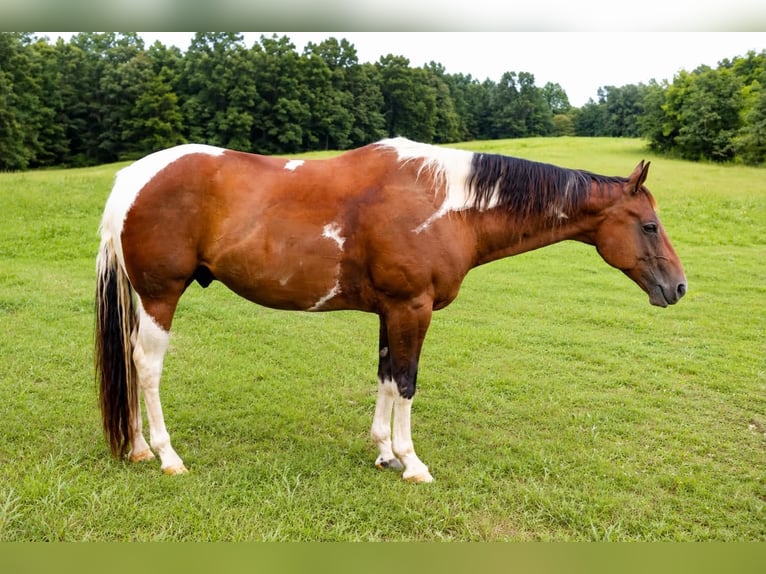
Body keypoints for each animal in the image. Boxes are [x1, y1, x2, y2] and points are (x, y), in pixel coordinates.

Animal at [95, 137, 687, 482]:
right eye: (649, 225)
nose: (678, 287)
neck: (448, 203)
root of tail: (133, 178)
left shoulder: (390, 312)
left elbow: (384, 376)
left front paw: (384, 452)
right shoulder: (412, 309)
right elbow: (406, 382)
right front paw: (412, 462)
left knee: (132, 363)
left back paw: (140, 449)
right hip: (161, 295)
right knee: (147, 367)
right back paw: (167, 456)